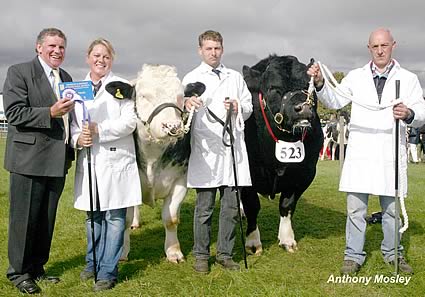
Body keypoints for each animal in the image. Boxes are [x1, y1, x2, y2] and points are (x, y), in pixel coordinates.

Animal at [240, 55, 322, 252]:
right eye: (273, 88)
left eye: (309, 86)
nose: (304, 107)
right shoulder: (247, 173)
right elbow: (252, 205)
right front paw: (253, 242)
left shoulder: (305, 173)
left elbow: (287, 205)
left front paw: (287, 239)